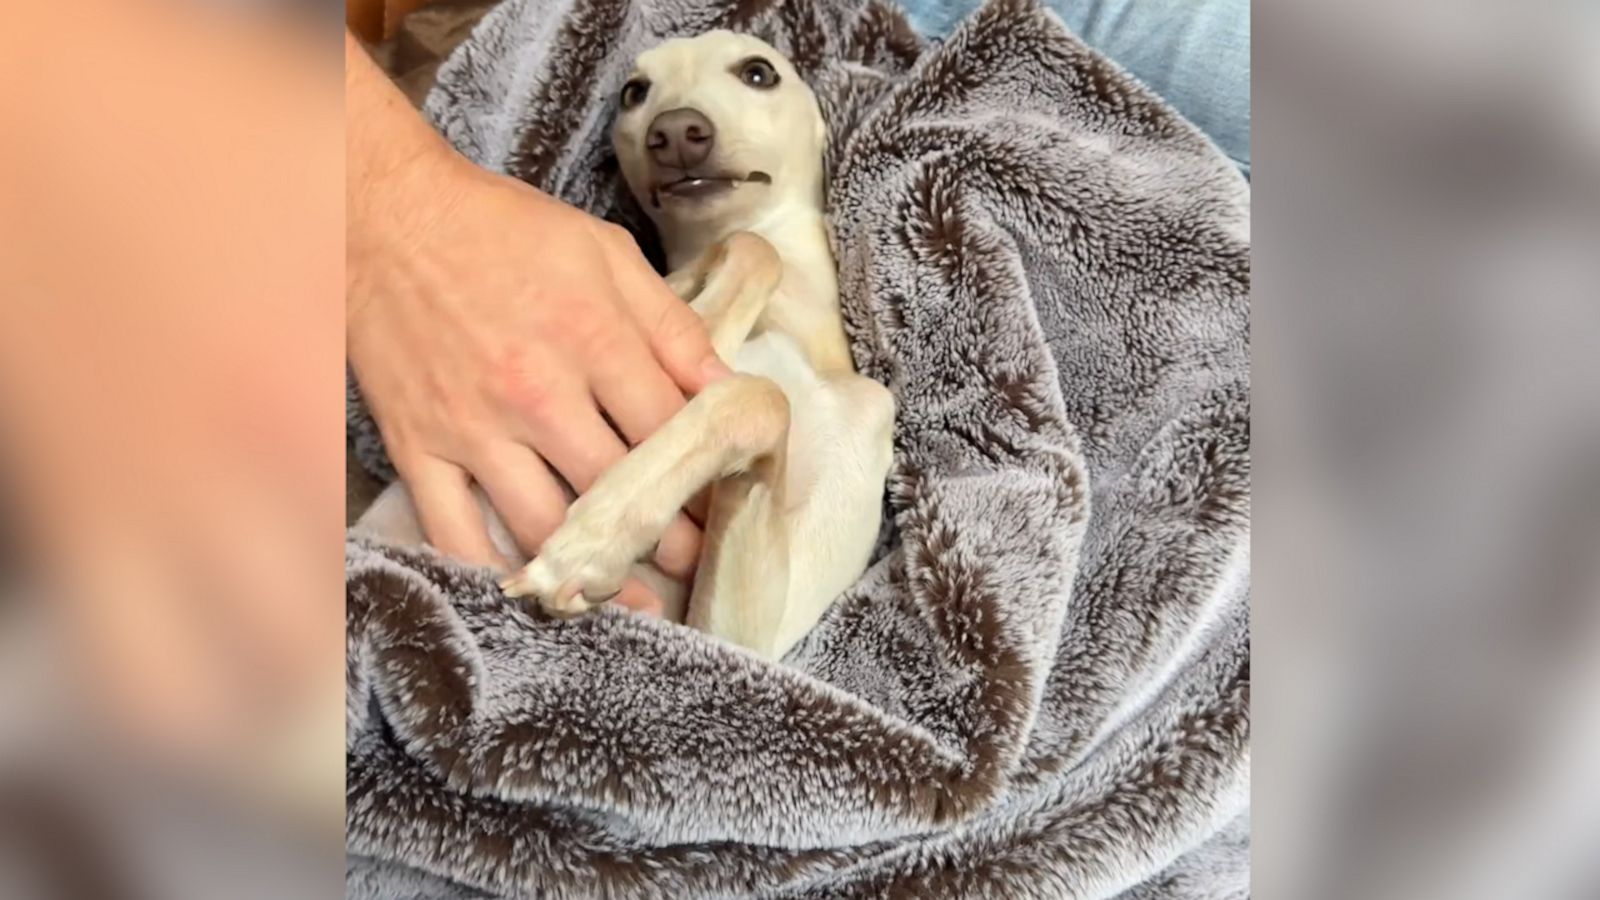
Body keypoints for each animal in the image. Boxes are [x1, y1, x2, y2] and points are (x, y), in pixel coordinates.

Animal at [358, 31, 896, 656]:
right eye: (634, 92)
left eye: (759, 72)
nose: (676, 132)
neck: (793, 327)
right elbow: (745, 258)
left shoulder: (734, 639)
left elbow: (762, 390)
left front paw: (592, 541)